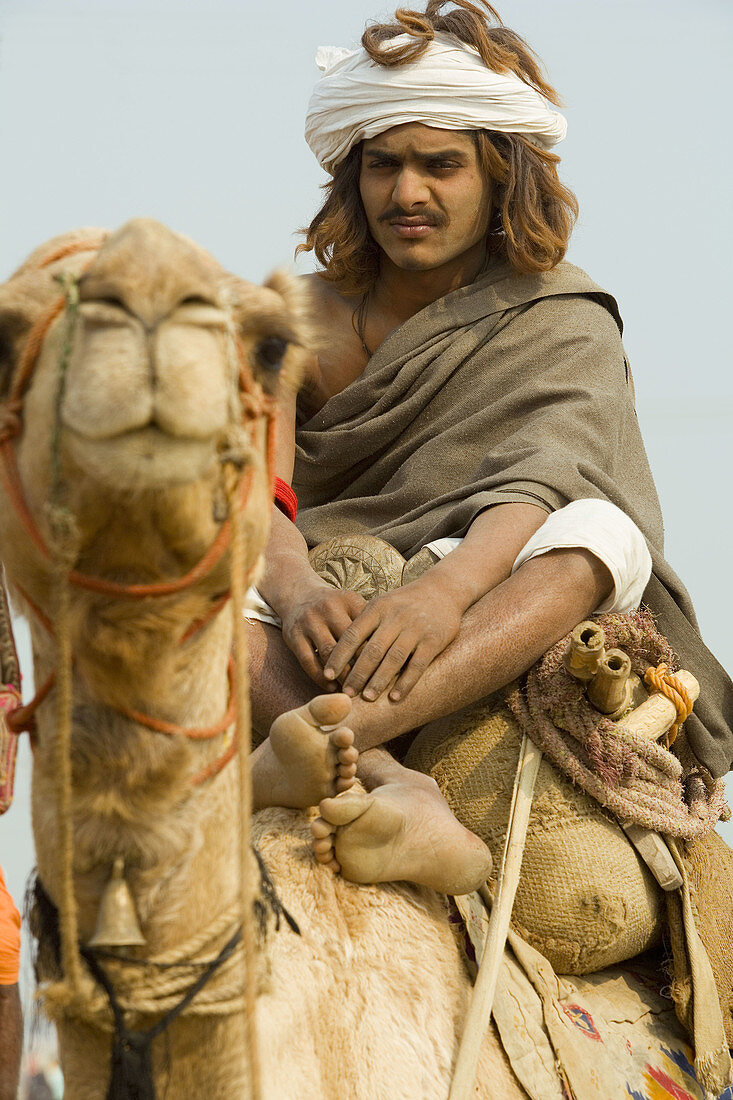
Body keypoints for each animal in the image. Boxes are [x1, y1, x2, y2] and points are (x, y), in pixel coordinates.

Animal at [0, 218, 717, 1095]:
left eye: (269, 344)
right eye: (4, 334)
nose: (144, 303)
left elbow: (528, 489)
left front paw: (406, 624)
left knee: (586, 528)